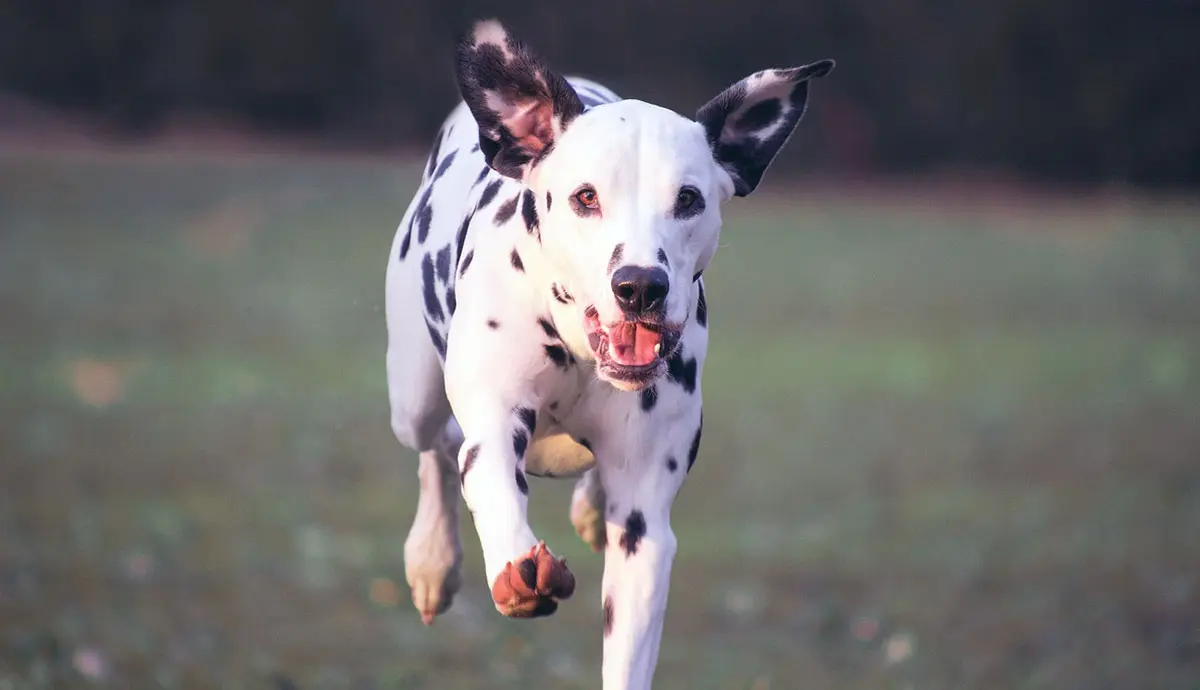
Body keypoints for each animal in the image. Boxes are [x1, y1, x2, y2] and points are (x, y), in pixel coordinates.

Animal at [386, 17, 835, 690]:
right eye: (585, 197)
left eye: (688, 199)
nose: (640, 285)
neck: (577, 348)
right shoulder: (493, 425)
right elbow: (489, 480)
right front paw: (514, 571)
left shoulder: (645, 529)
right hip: (411, 399)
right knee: (436, 448)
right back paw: (433, 559)